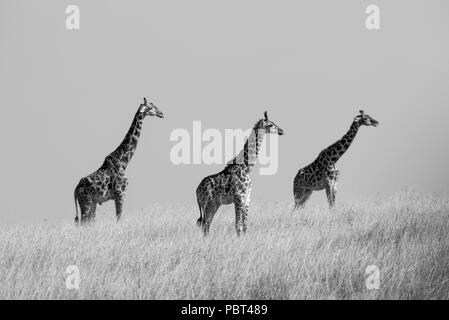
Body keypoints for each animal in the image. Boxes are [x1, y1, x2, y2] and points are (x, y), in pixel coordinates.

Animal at [73, 96, 163, 224]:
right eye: (151, 107)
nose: (161, 113)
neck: (123, 161)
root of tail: (75, 190)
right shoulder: (120, 193)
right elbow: (119, 217)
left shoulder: (117, 195)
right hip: (86, 202)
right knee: (83, 222)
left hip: (93, 203)